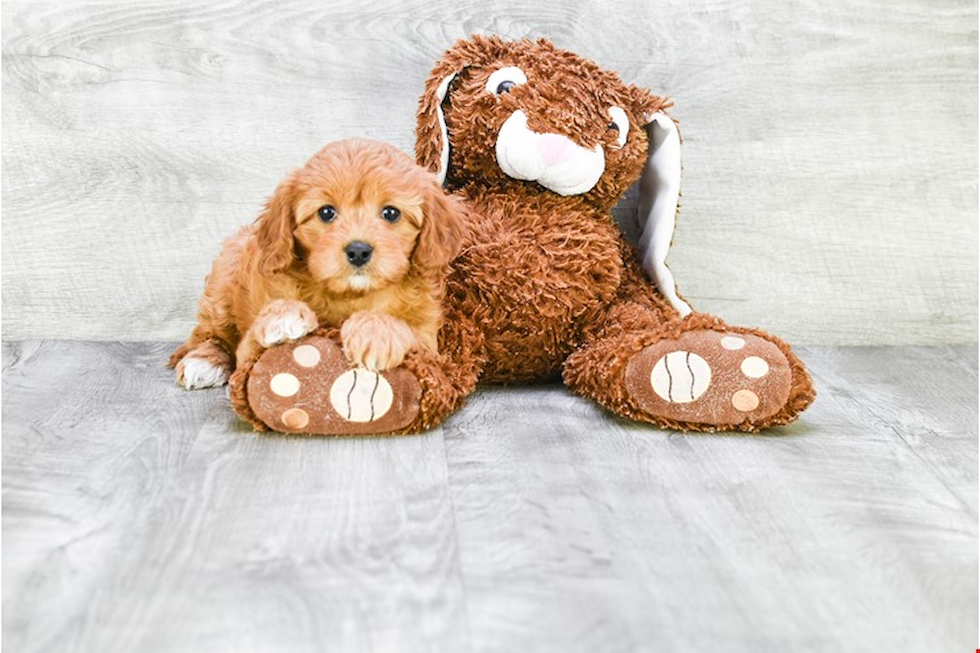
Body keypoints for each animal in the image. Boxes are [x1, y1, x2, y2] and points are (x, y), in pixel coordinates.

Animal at [169, 138, 468, 388]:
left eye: (391, 213)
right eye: (326, 212)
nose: (358, 250)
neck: (350, 295)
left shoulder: (429, 344)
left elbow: (406, 329)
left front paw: (374, 330)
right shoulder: (249, 352)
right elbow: (253, 339)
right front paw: (283, 316)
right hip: (223, 282)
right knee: (207, 334)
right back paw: (204, 361)